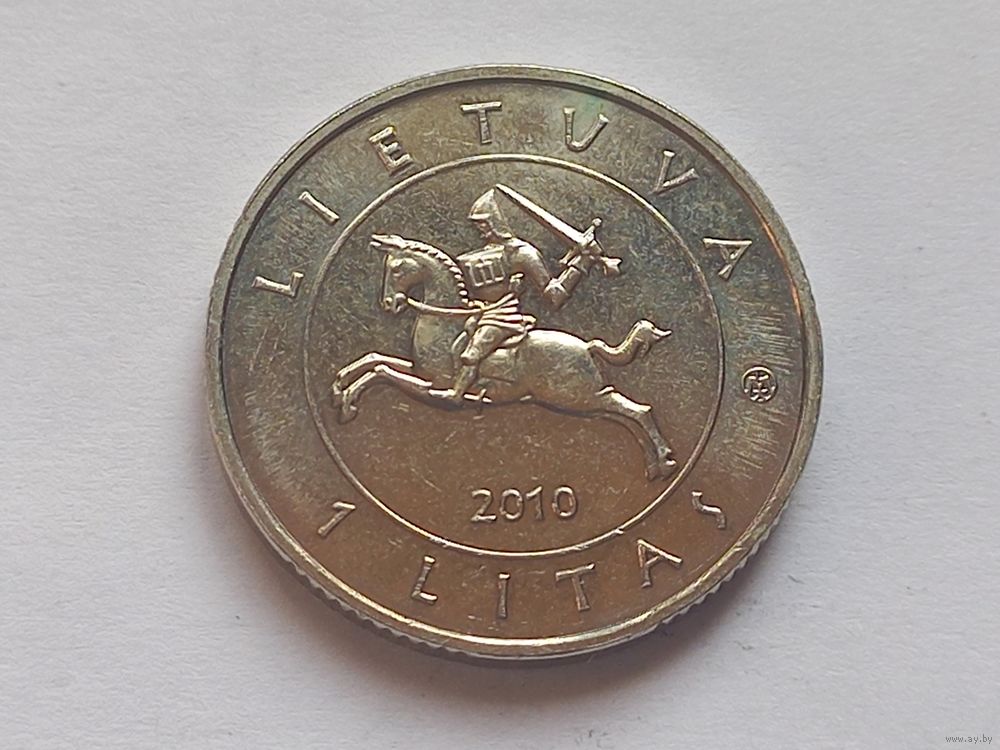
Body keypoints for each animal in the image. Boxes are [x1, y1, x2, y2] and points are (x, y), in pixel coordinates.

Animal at [330, 233, 677, 479]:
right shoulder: (419, 369)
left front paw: (347, 402)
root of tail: (586, 346)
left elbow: (382, 373)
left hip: (579, 397)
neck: (444, 322)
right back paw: (654, 466)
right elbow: (375, 358)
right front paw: (339, 385)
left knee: (638, 411)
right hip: (583, 402)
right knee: (625, 416)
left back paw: (664, 461)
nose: (389, 304)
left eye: (397, 267)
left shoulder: (429, 385)